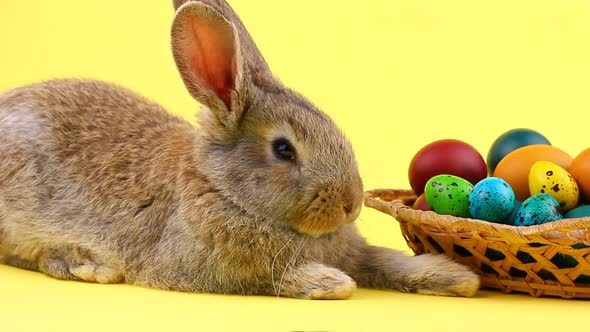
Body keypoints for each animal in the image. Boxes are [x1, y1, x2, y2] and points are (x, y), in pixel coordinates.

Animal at [0, 0, 480, 300]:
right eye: (284, 150)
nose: (350, 204)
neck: (223, 190)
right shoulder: (211, 267)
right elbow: (275, 277)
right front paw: (326, 282)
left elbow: (385, 260)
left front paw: (458, 277)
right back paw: (86, 264)